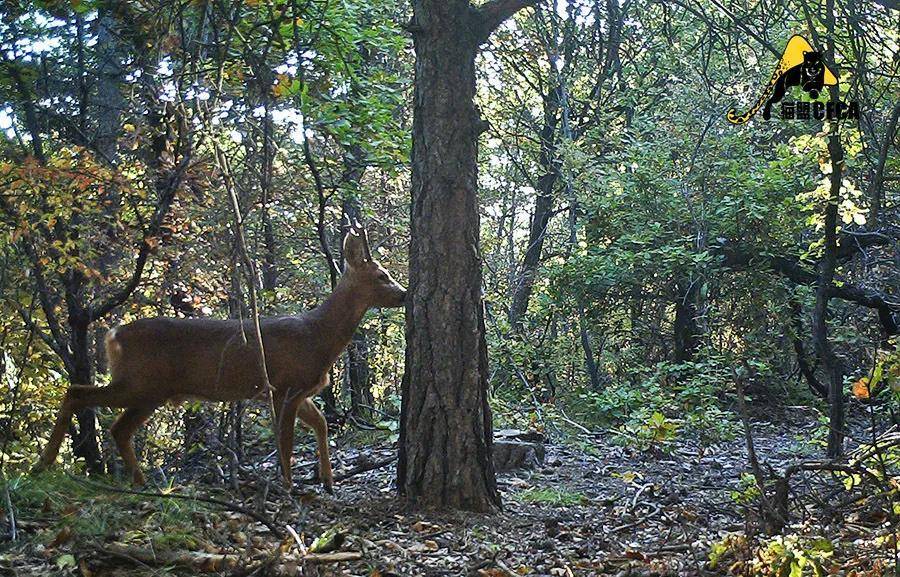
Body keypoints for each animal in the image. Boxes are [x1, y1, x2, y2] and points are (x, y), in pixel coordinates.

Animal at [35, 224, 406, 490]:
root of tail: (114, 335)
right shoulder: (285, 386)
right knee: (79, 394)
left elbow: (321, 423)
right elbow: (285, 441)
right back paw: (45, 462)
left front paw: (327, 480)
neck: (319, 336)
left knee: (118, 428)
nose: (404, 294)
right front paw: (288, 487)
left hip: (148, 389)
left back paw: (138, 483)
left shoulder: (300, 390)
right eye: (382, 275)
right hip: (140, 381)